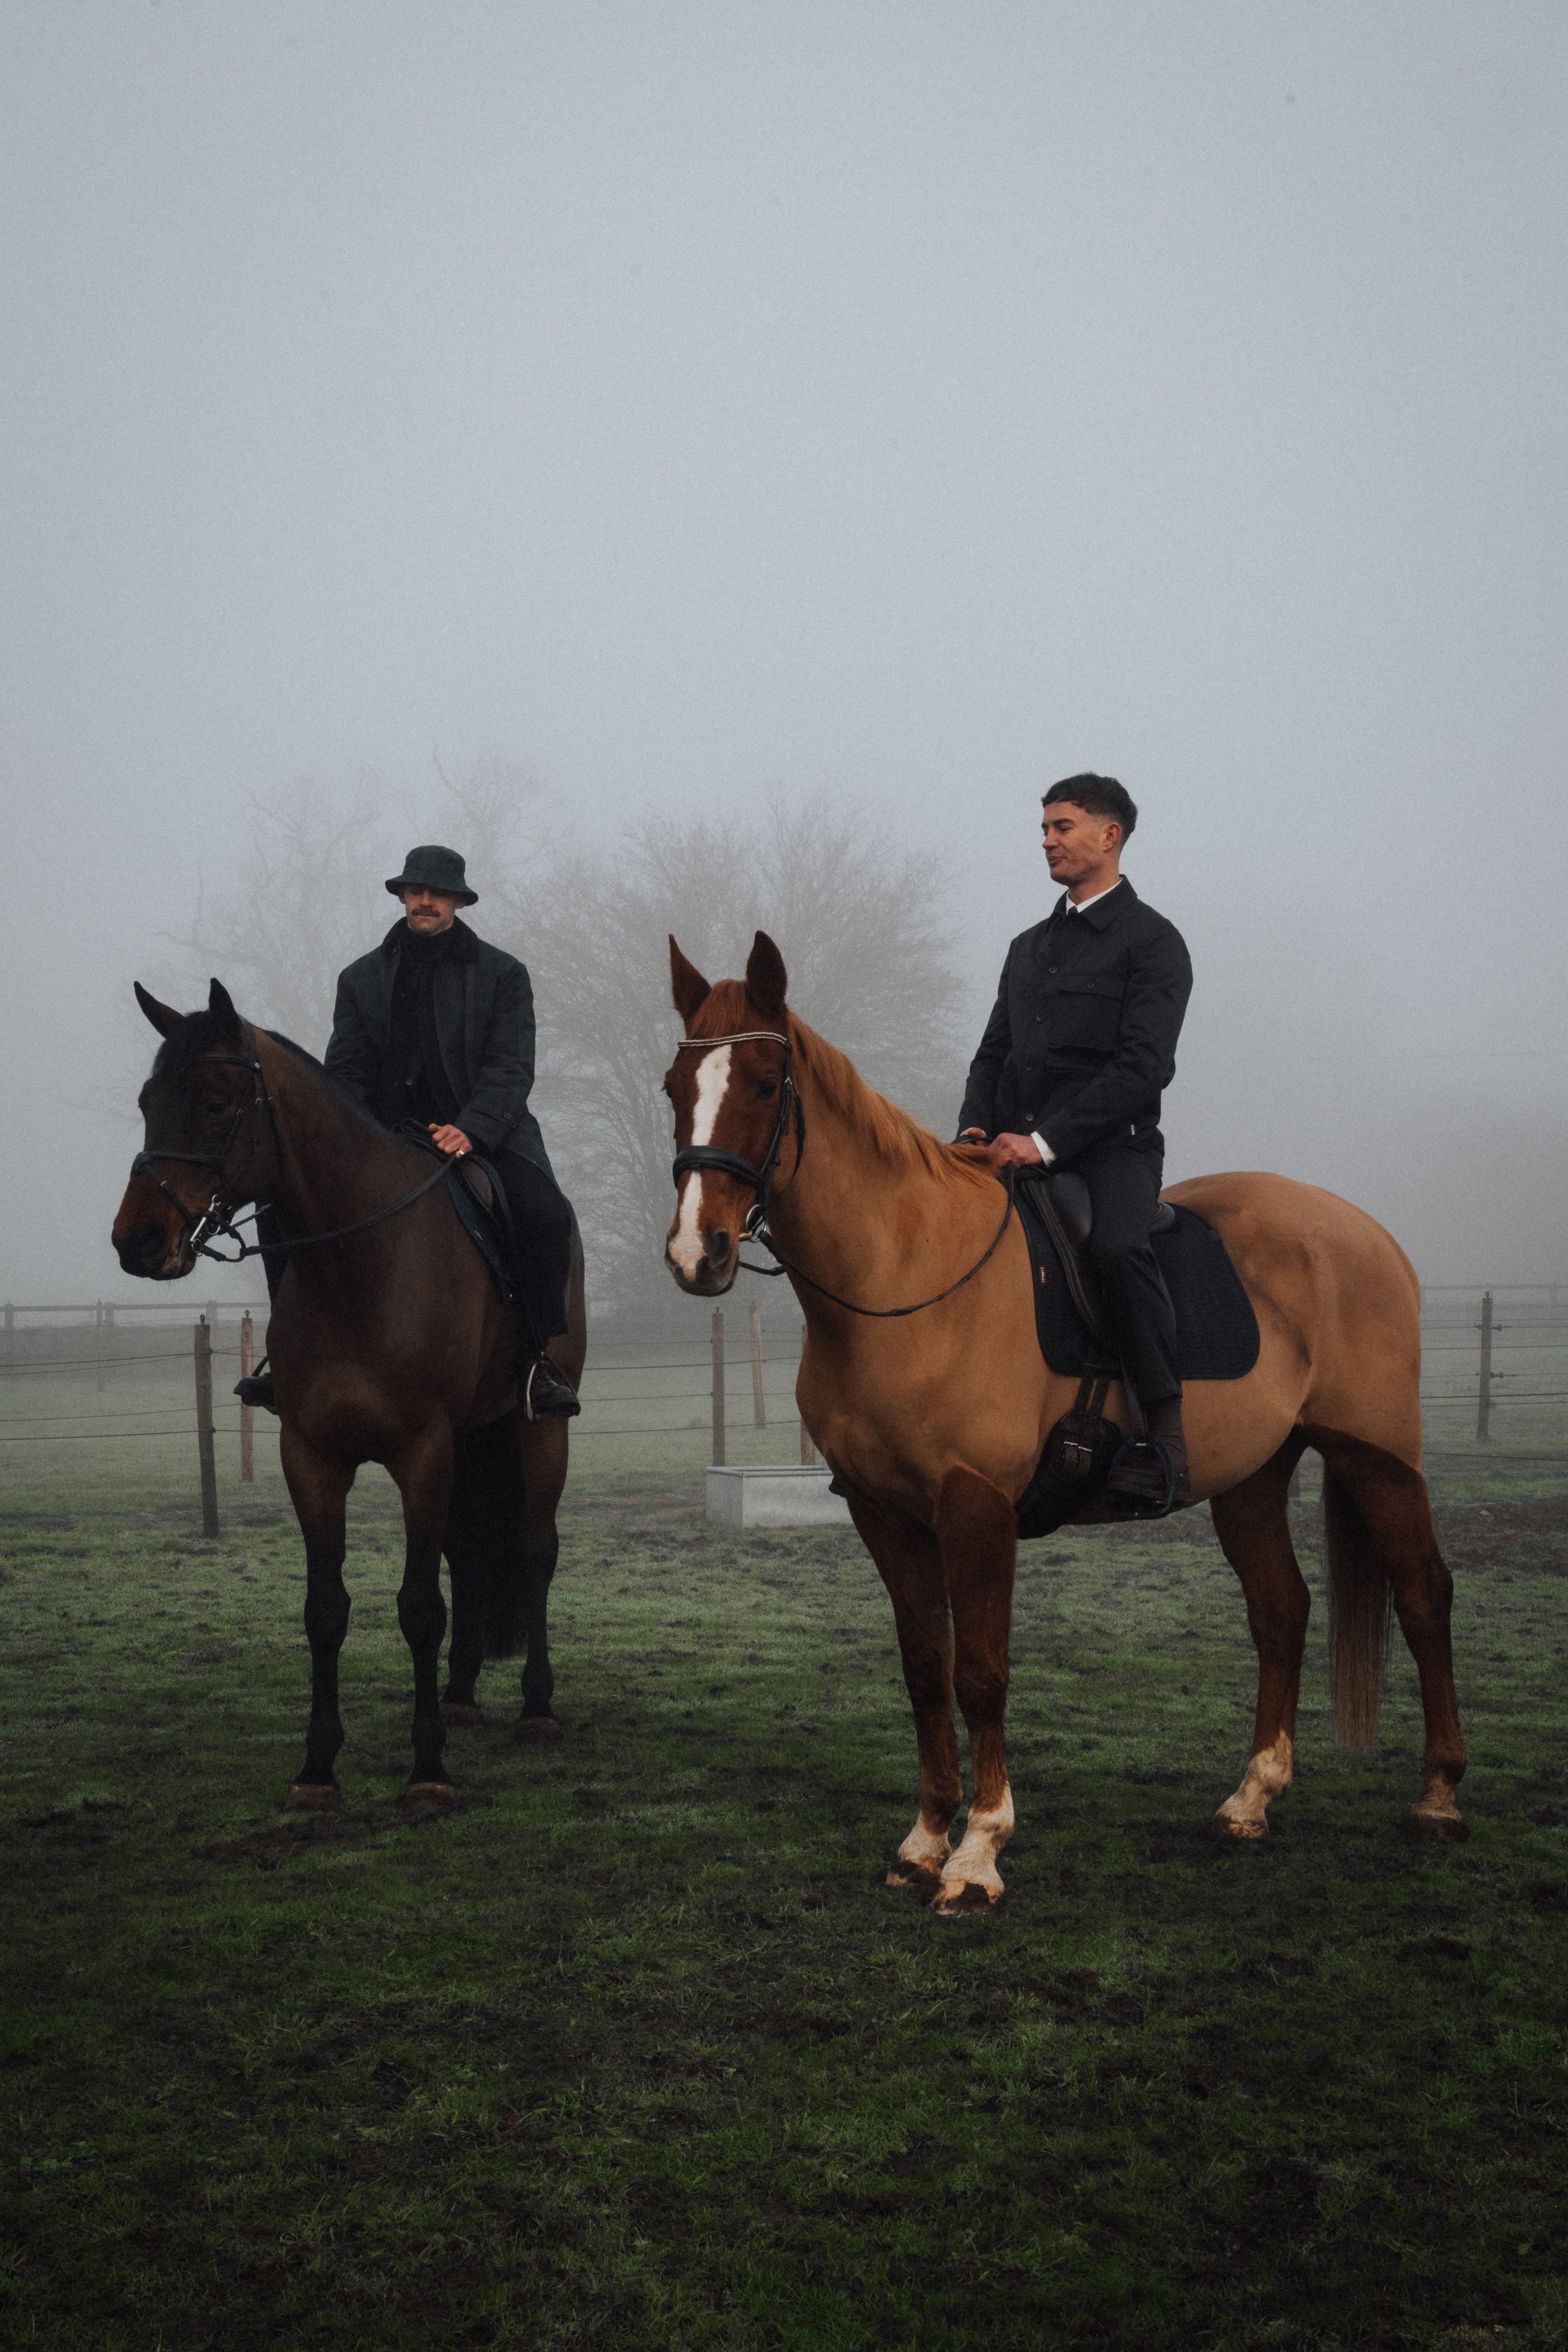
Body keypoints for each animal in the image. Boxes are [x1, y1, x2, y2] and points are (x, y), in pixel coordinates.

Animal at [112, 979, 587, 1818]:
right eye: (146, 1099)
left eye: (213, 1100)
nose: (136, 1241)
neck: (358, 1261)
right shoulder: (311, 1455)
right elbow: (325, 1610)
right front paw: (317, 1767)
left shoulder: (422, 1450)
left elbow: (419, 1607)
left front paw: (426, 1769)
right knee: (466, 1554)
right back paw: (461, 1696)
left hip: (539, 1432)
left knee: (534, 1551)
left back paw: (535, 1708)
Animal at [662, 932, 1466, 1916]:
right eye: (674, 1086)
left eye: (765, 1084)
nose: (696, 1253)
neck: (906, 1275)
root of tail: (1365, 1232)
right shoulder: (883, 1513)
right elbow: (924, 1668)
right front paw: (922, 1842)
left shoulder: (976, 1509)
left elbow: (979, 1672)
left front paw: (977, 1854)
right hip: (1250, 1479)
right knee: (1281, 1610)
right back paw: (1249, 1801)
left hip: (1377, 1458)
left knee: (1424, 1596)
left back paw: (1436, 1799)